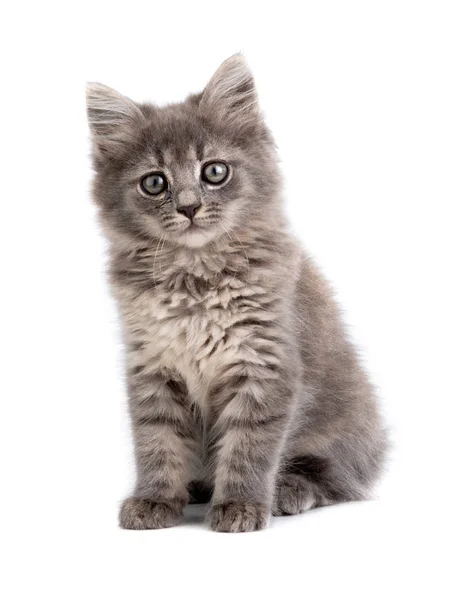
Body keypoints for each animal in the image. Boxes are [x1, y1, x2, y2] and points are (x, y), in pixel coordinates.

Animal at [87, 55, 386, 536]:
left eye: (214, 171)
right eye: (154, 183)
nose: (189, 207)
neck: (194, 279)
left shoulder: (263, 363)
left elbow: (249, 445)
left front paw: (241, 505)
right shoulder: (153, 368)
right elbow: (157, 441)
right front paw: (155, 499)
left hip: (343, 427)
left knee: (334, 476)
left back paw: (287, 491)